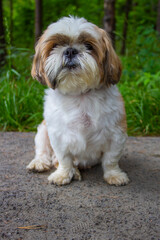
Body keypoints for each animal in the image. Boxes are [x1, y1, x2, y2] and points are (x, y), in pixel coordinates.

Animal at [26, 16, 129, 186]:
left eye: (89, 46)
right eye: (55, 45)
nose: (70, 50)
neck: (79, 94)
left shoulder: (116, 134)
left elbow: (110, 160)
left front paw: (114, 175)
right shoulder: (58, 136)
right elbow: (64, 159)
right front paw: (63, 174)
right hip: (42, 131)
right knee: (44, 152)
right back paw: (40, 163)